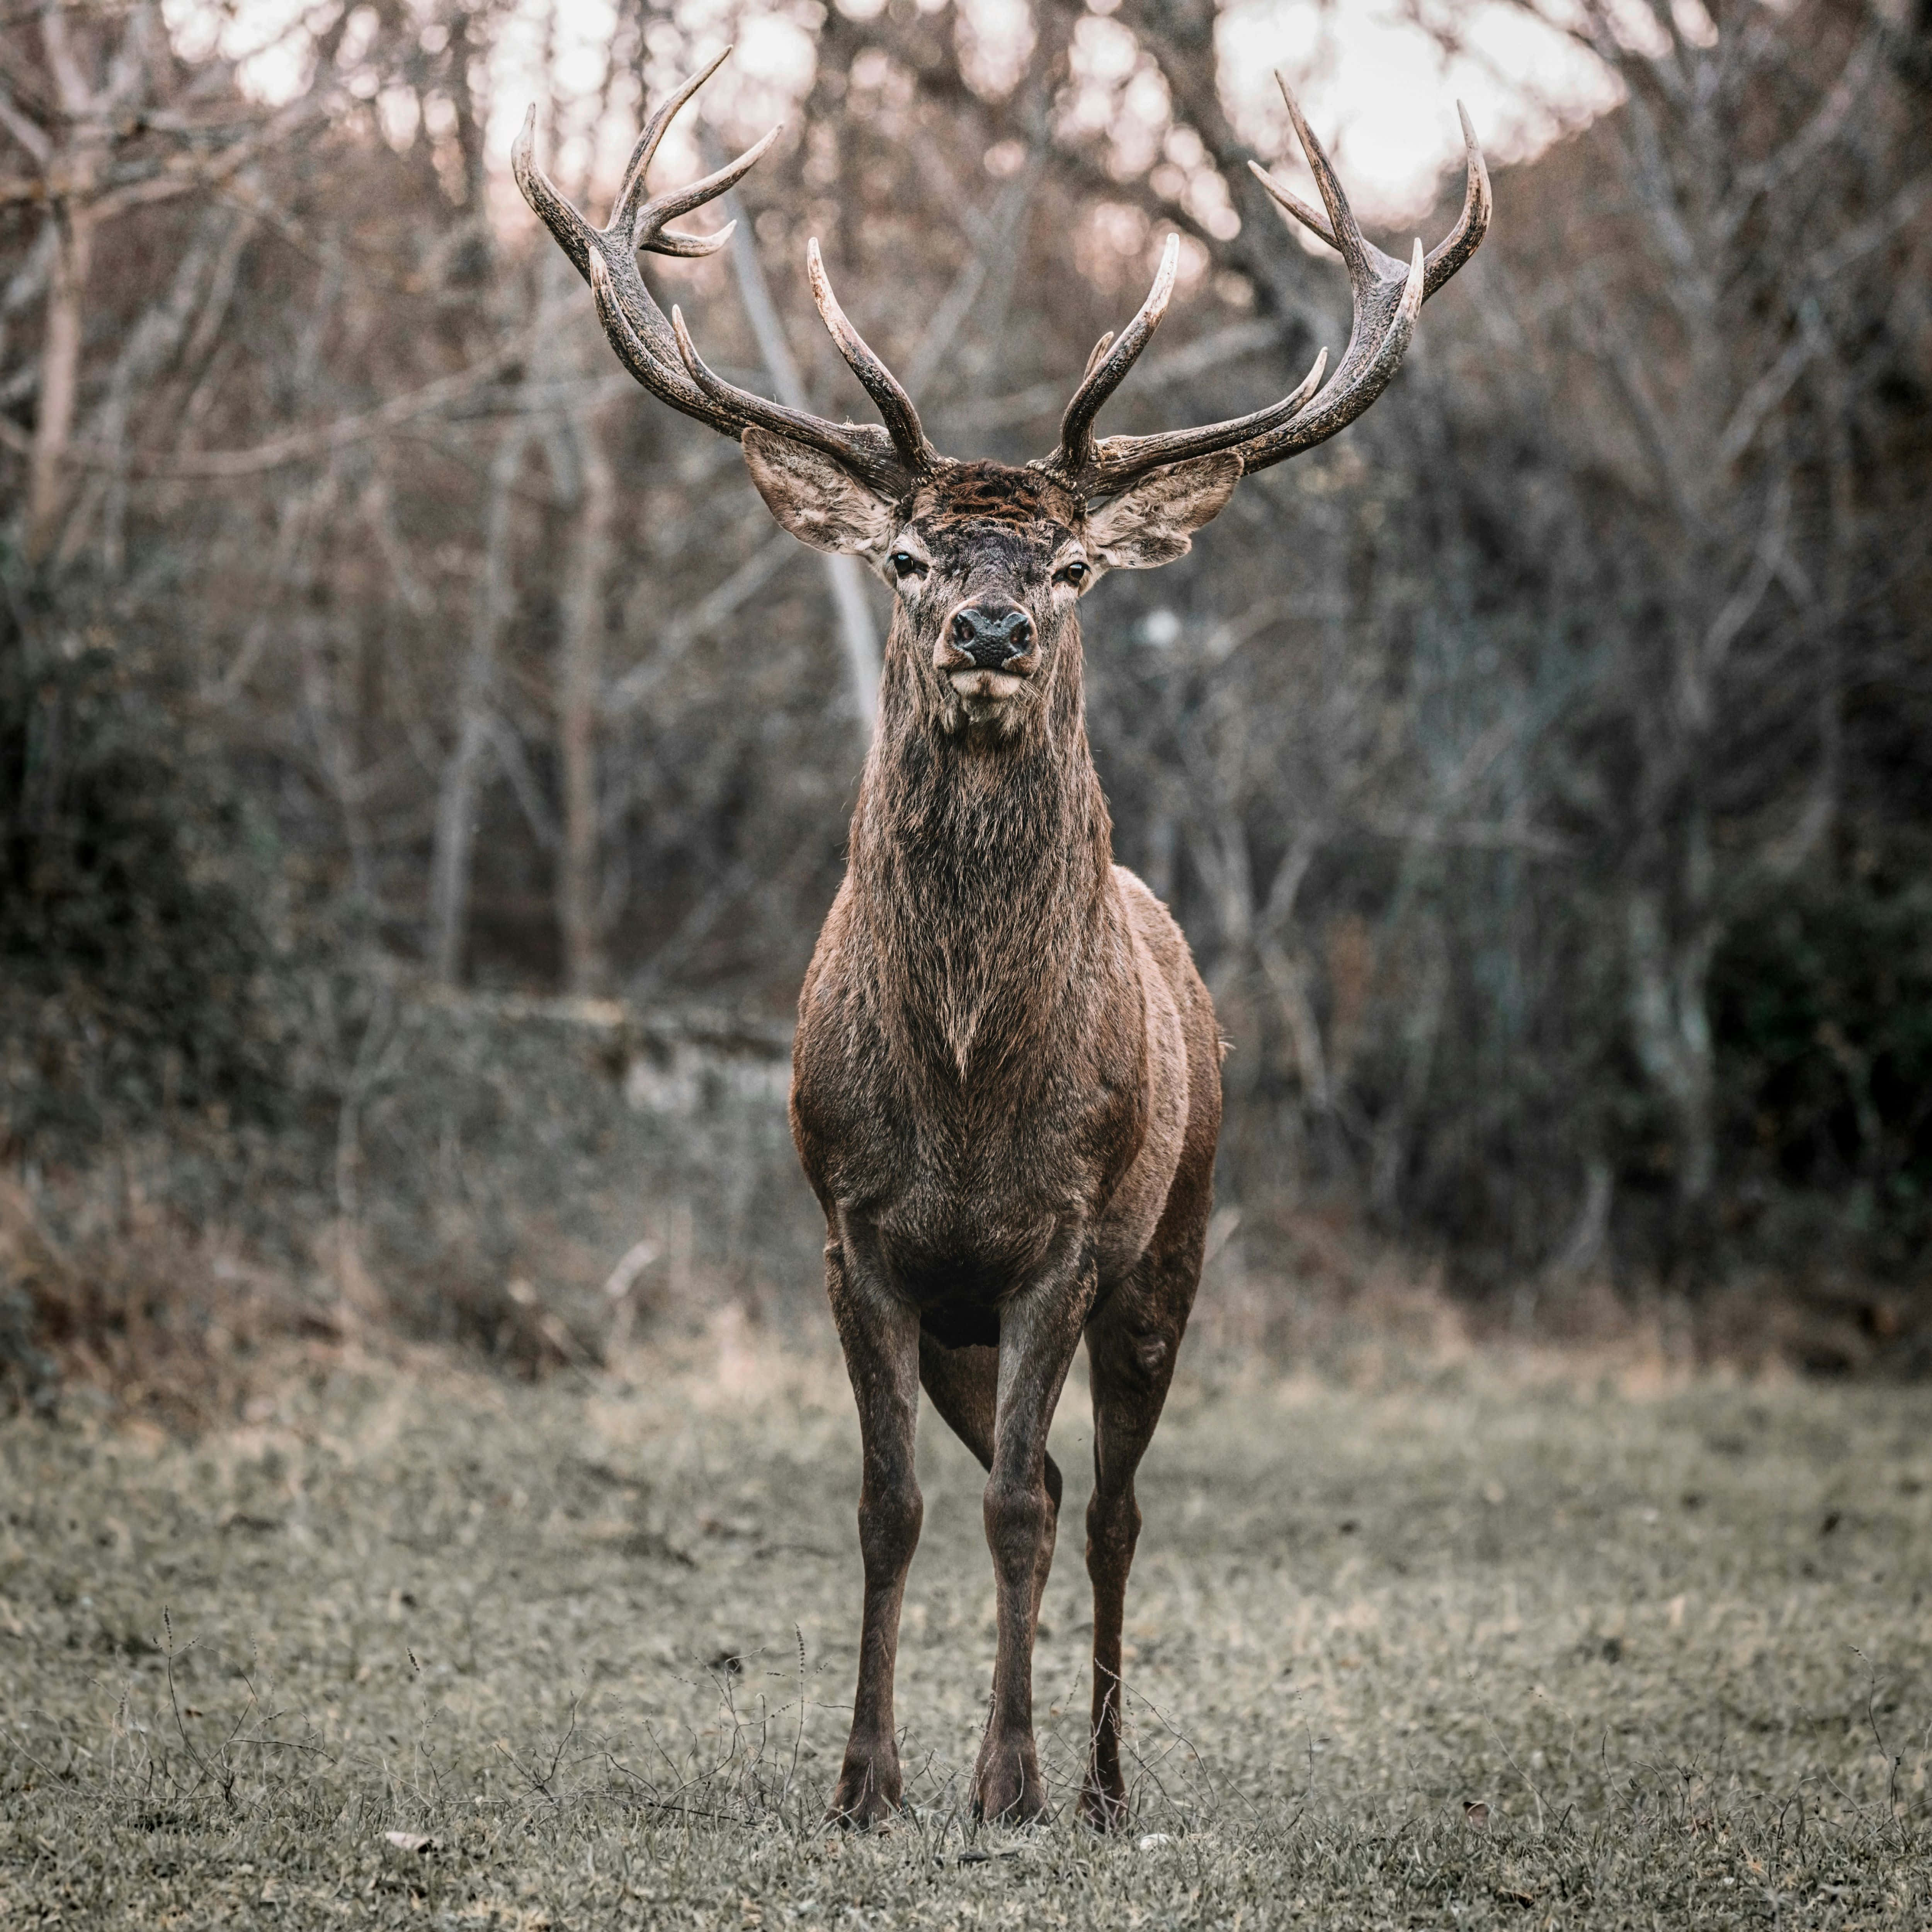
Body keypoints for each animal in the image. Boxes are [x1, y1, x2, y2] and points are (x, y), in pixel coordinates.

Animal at [515, 51, 1488, 1830]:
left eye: (1074, 562)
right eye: (906, 555)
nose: (987, 627)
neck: (970, 1090)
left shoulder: (1065, 1236)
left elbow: (1031, 1514)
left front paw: (1009, 1784)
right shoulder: (858, 1237)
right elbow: (892, 1506)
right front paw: (864, 1782)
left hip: (1174, 1241)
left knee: (1101, 1506)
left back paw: (1100, 1779)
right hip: (975, 1317)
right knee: (1018, 1467)